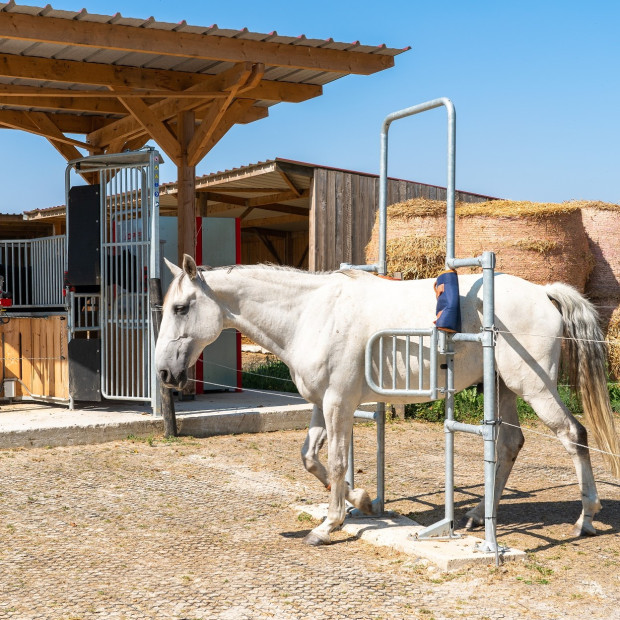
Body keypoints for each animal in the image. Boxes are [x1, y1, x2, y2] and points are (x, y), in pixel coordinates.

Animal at [156, 254, 620, 544]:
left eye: (181, 308)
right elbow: (310, 459)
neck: (311, 313)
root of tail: (543, 292)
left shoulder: (338, 404)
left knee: (574, 435)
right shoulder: (320, 405)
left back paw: (585, 518)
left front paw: (329, 525)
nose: (163, 374)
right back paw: (476, 516)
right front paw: (359, 500)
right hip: (504, 387)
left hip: (534, 388)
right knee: (509, 444)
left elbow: (337, 462)